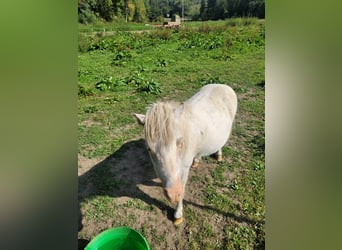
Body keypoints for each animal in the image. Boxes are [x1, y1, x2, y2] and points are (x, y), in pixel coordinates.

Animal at [134, 83, 238, 225]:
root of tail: (222, 85)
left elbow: (182, 189)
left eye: (180, 143)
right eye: (149, 149)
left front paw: (178, 215)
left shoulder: (183, 169)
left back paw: (219, 155)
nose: (173, 194)